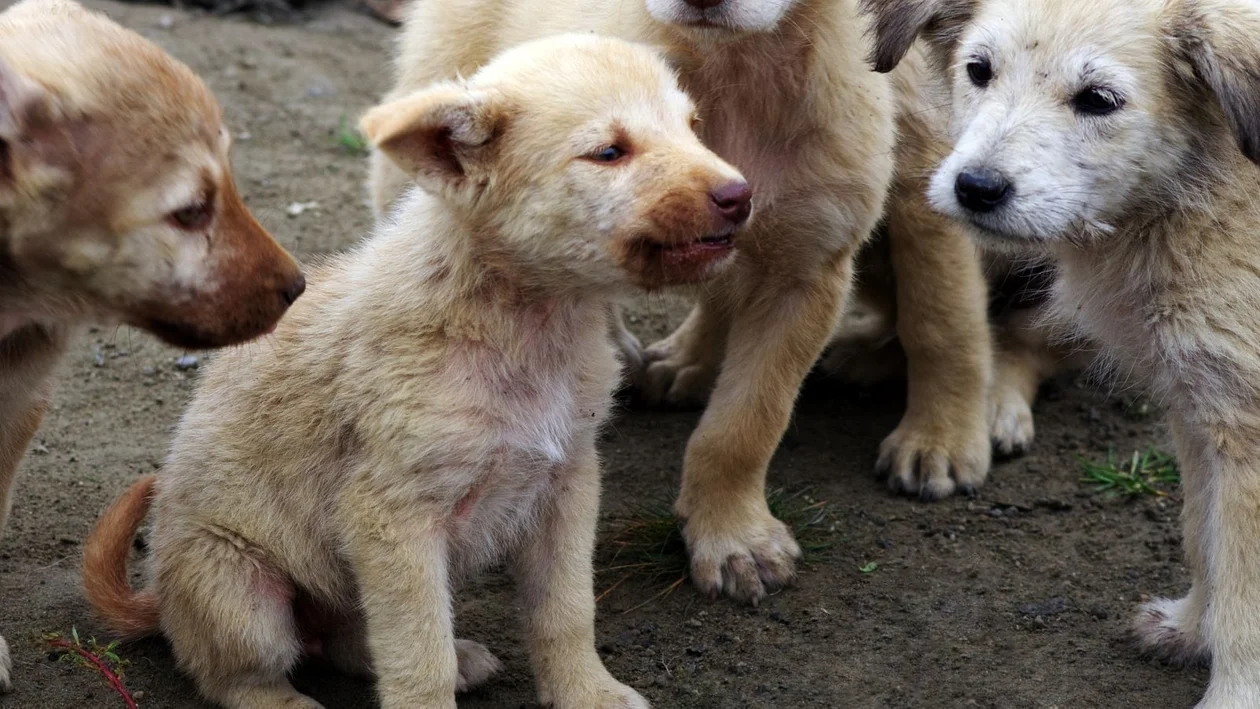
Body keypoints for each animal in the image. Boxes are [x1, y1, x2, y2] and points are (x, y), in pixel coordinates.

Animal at [83, 36, 750, 709]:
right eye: (609, 152)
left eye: (693, 128)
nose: (740, 196)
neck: (523, 326)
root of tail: (160, 601)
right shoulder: (394, 518)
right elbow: (417, 652)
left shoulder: (568, 486)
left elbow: (565, 612)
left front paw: (588, 693)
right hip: (241, 592)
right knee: (236, 675)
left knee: (348, 643)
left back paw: (460, 659)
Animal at [367, 0, 997, 604]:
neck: (736, 69)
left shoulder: (808, 267)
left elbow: (745, 424)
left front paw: (733, 537)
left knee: (942, 307)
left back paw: (939, 434)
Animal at [871, 0, 1260, 705]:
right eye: (978, 69)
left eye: (1099, 100)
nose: (976, 187)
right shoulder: (1202, 413)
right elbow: (1204, 538)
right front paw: (1191, 630)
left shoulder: (1244, 432)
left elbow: (1245, 594)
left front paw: (1234, 694)